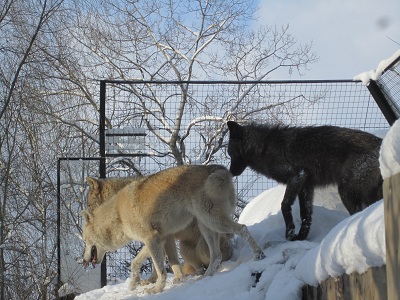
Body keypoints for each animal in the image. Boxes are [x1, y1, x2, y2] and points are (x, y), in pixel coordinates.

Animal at [85, 176, 233, 278]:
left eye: (89, 205)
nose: (86, 216)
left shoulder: (161, 236)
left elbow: (158, 263)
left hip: (201, 246)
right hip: (184, 249)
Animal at [227, 120, 382, 240]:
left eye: (229, 153)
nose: (231, 172)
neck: (264, 147)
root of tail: (380, 141)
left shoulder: (298, 175)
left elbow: (284, 204)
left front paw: (290, 232)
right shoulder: (306, 185)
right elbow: (305, 213)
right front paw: (301, 237)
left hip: (346, 192)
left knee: (357, 212)